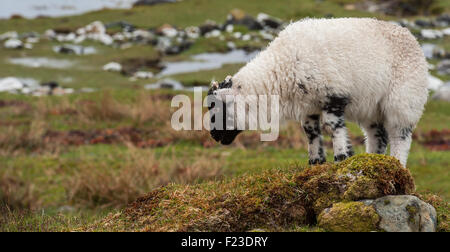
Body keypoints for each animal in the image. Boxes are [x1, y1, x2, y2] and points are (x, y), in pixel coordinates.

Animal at [208, 17, 428, 167]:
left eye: (218, 109)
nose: (214, 137)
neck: (279, 70)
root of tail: (411, 38)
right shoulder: (308, 106)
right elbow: (311, 133)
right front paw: (316, 162)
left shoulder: (333, 95)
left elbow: (333, 128)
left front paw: (341, 158)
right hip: (372, 106)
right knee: (378, 135)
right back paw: (373, 160)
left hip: (404, 100)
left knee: (400, 136)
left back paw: (397, 163)